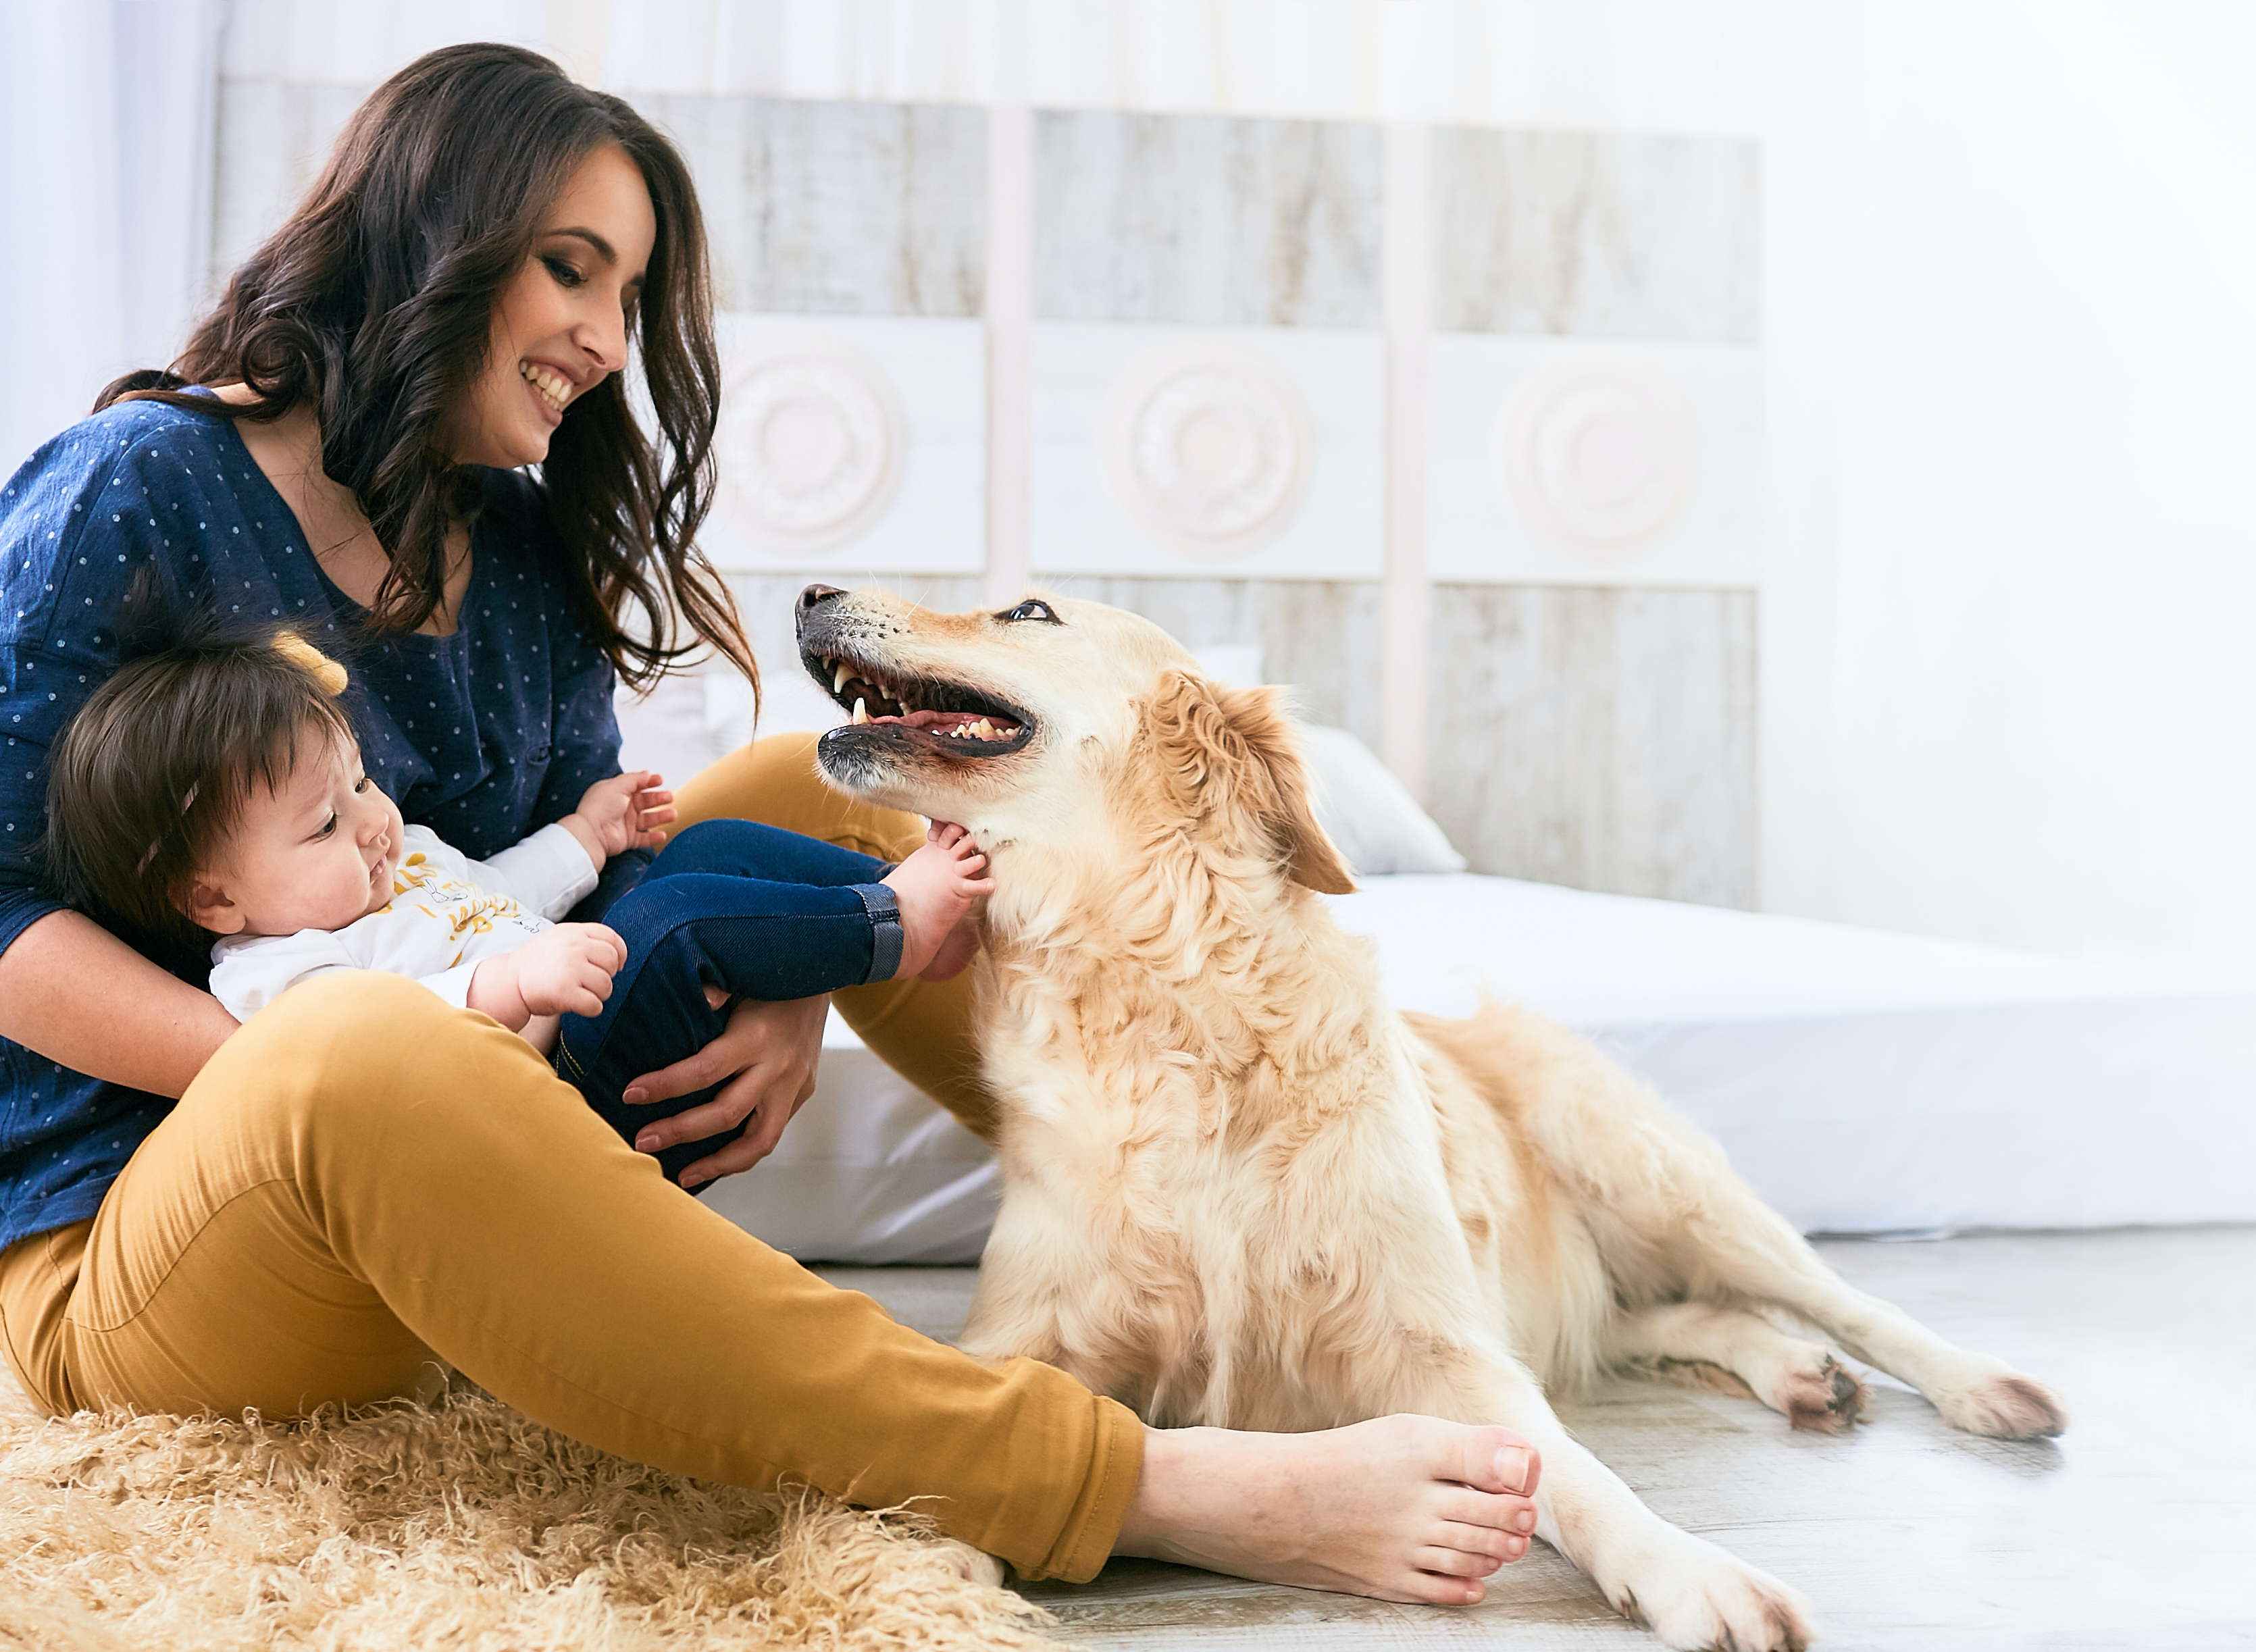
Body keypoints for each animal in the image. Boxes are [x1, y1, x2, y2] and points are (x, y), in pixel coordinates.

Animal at [794, 586, 2066, 1643]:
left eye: (1028, 610)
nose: (811, 592)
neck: (1162, 1003)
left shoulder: (1438, 1337)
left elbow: (1581, 1476)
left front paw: (1693, 1572)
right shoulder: (1026, 1335)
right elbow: (981, 1443)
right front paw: (924, 1581)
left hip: (1653, 1176)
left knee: (1836, 1298)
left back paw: (1973, 1384)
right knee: (1659, 1318)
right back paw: (1799, 1370)